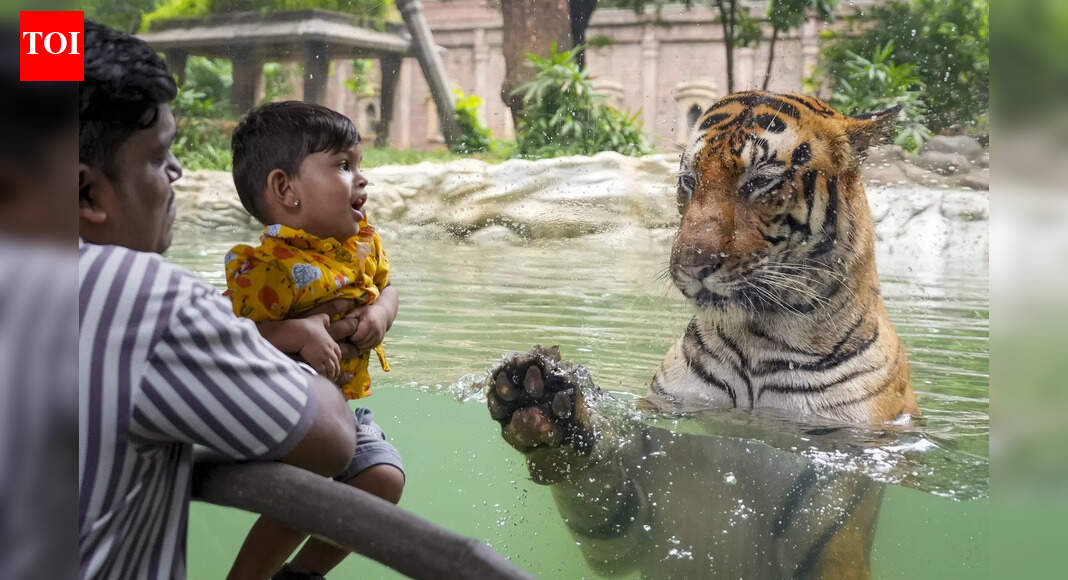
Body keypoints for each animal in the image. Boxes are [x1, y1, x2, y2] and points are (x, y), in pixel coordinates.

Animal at [483, 92, 918, 578]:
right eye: (688, 182)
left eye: (760, 182)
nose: (691, 263)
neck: (757, 341)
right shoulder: (628, 525)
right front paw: (536, 396)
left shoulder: (838, 498)